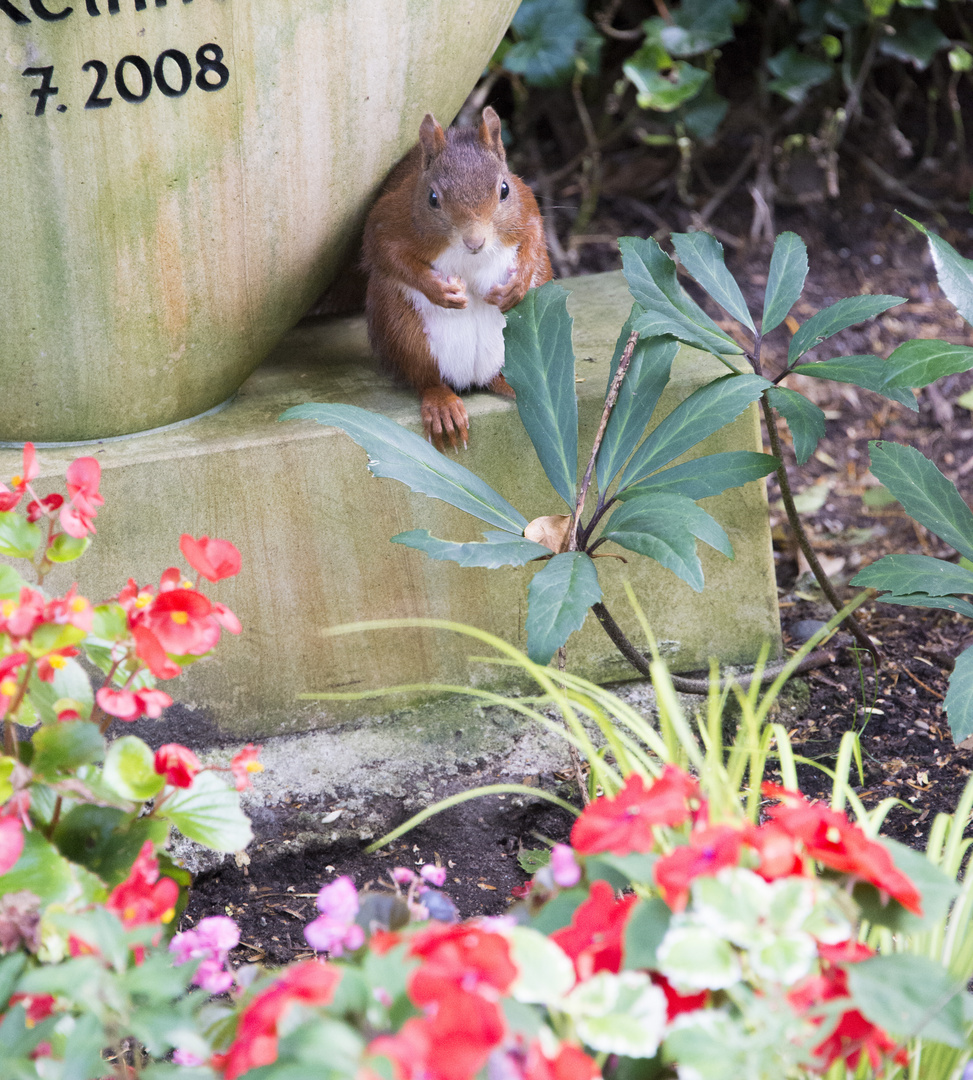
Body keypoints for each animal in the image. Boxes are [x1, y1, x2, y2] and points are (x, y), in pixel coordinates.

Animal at [360, 103, 550, 449]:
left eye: (505, 189)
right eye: (432, 198)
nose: (475, 242)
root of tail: (471, 378)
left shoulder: (526, 205)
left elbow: (534, 235)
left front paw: (516, 286)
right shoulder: (390, 219)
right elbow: (385, 252)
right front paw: (439, 290)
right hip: (402, 329)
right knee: (426, 378)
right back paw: (442, 404)